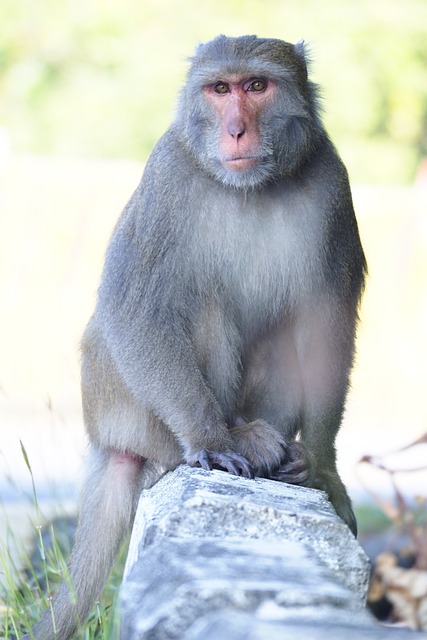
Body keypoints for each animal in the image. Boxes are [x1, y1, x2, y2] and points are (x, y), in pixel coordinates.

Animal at [25, 36, 368, 640]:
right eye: (219, 89)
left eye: (256, 86)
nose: (236, 130)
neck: (252, 188)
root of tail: (107, 438)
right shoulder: (167, 175)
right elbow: (135, 311)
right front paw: (211, 438)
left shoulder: (332, 182)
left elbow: (326, 325)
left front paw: (324, 469)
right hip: (132, 413)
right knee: (199, 305)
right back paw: (228, 439)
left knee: (282, 331)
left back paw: (275, 451)